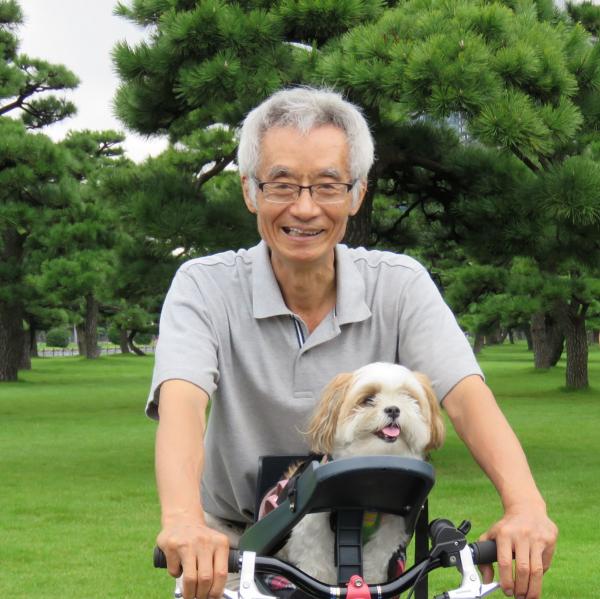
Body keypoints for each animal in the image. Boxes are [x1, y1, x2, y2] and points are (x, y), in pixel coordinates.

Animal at [276, 364, 446, 584]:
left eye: (408, 397)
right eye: (368, 399)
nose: (393, 409)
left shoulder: (391, 528)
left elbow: (376, 559)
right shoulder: (311, 526)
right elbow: (317, 563)